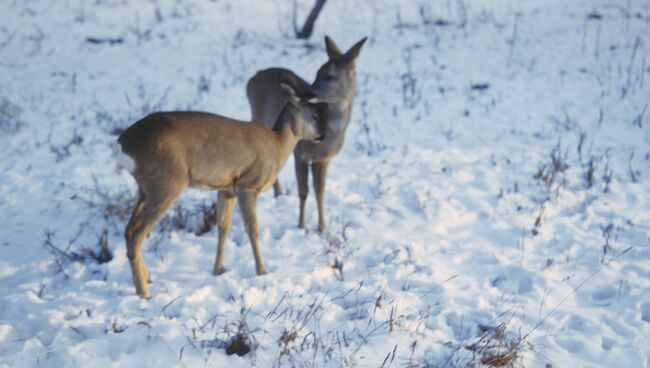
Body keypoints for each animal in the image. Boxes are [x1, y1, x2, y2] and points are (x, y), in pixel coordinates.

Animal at [117, 80, 324, 300]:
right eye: (314, 115)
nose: (322, 135)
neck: (277, 144)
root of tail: (123, 144)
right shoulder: (247, 185)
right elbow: (252, 228)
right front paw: (262, 270)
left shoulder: (226, 189)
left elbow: (223, 227)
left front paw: (218, 269)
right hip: (167, 183)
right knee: (136, 233)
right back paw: (144, 293)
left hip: (145, 189)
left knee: (128, 229)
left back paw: (148, 279)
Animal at [246, 36, 364, 233]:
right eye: (317, 71)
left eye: (329, 75)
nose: (307, 93)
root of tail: (253, 78)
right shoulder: (299, 153)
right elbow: (303, 191)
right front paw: (301, 225)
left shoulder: (323, 159)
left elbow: (320, 192)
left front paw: (322, 227)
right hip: (257, 115)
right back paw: (278, 193)